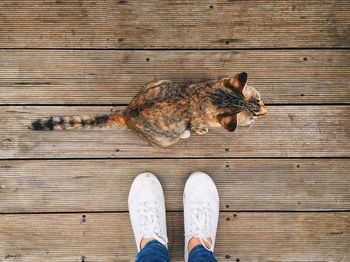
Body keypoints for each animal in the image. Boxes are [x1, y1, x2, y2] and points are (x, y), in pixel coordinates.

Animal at [31, 72, 270, 146]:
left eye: (260, 100)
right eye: (254, 117)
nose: (267, 112)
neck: (210, 95)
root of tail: (127, 113)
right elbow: (201, 128)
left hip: (156, 82)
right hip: (166, 138)